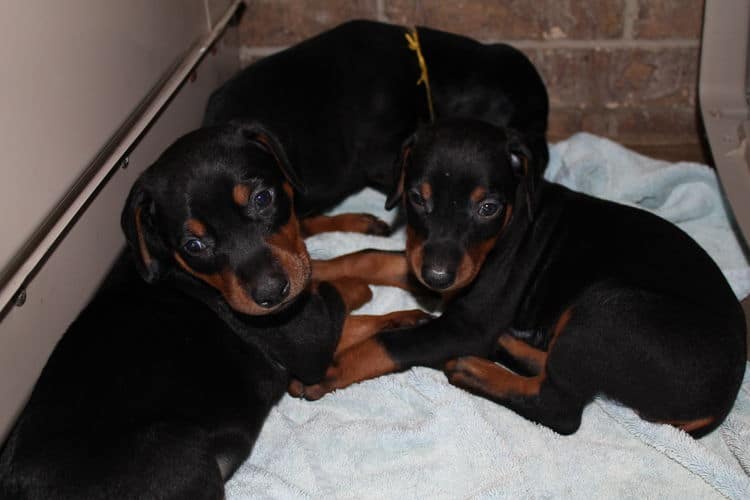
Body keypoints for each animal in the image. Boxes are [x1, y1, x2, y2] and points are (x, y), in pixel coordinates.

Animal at [0, 122, 424, 500]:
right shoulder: (306, 343)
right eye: (194, 245)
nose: (271, 294)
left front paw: (372, 243)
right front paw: (398, 314)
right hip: (178, 448)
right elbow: (346, 306)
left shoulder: (292, 263)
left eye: (262, 198)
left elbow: (324, 251)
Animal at [296, 118, 748, 438]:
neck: (511, 226)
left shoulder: (466, 324)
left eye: (488, 208)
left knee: (560, 409)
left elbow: (390, 344)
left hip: (608, 308)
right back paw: (508, 346)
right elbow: (370, 258)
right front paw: (311, 271)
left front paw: (329, 369)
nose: (438, 277)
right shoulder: (425, 263)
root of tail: (722, 398)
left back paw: (473, 369)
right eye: (417, 198)